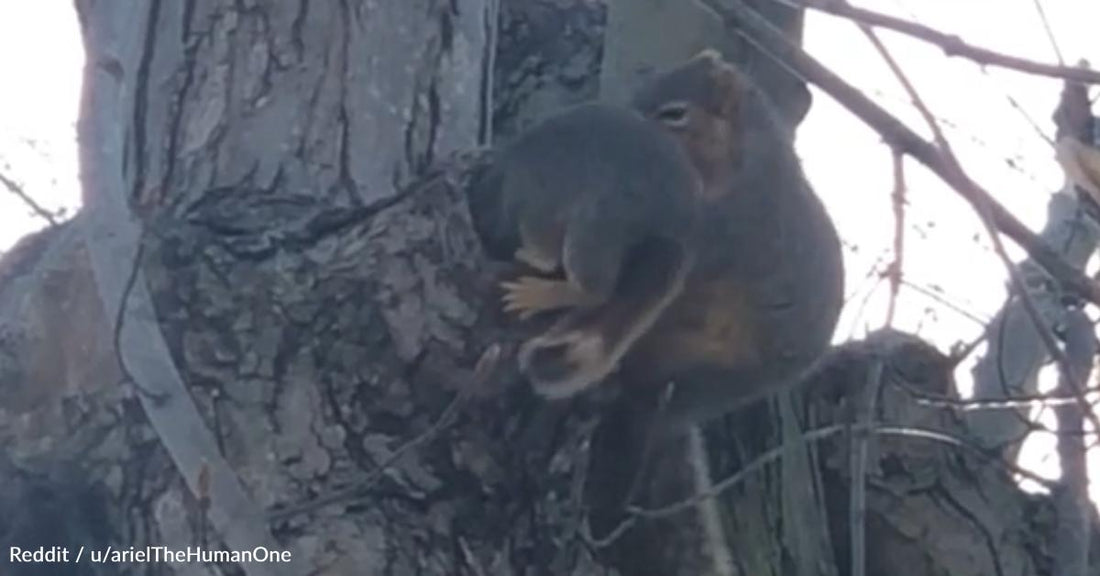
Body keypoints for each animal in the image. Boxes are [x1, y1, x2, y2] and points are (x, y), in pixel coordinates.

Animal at [464, 102, 704, 400]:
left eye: (483, 215)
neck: (503, 178)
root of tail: (683, 227)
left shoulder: (536, 197)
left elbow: (544, 250)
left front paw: (531, 256)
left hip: (602, 220)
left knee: (595, 290)